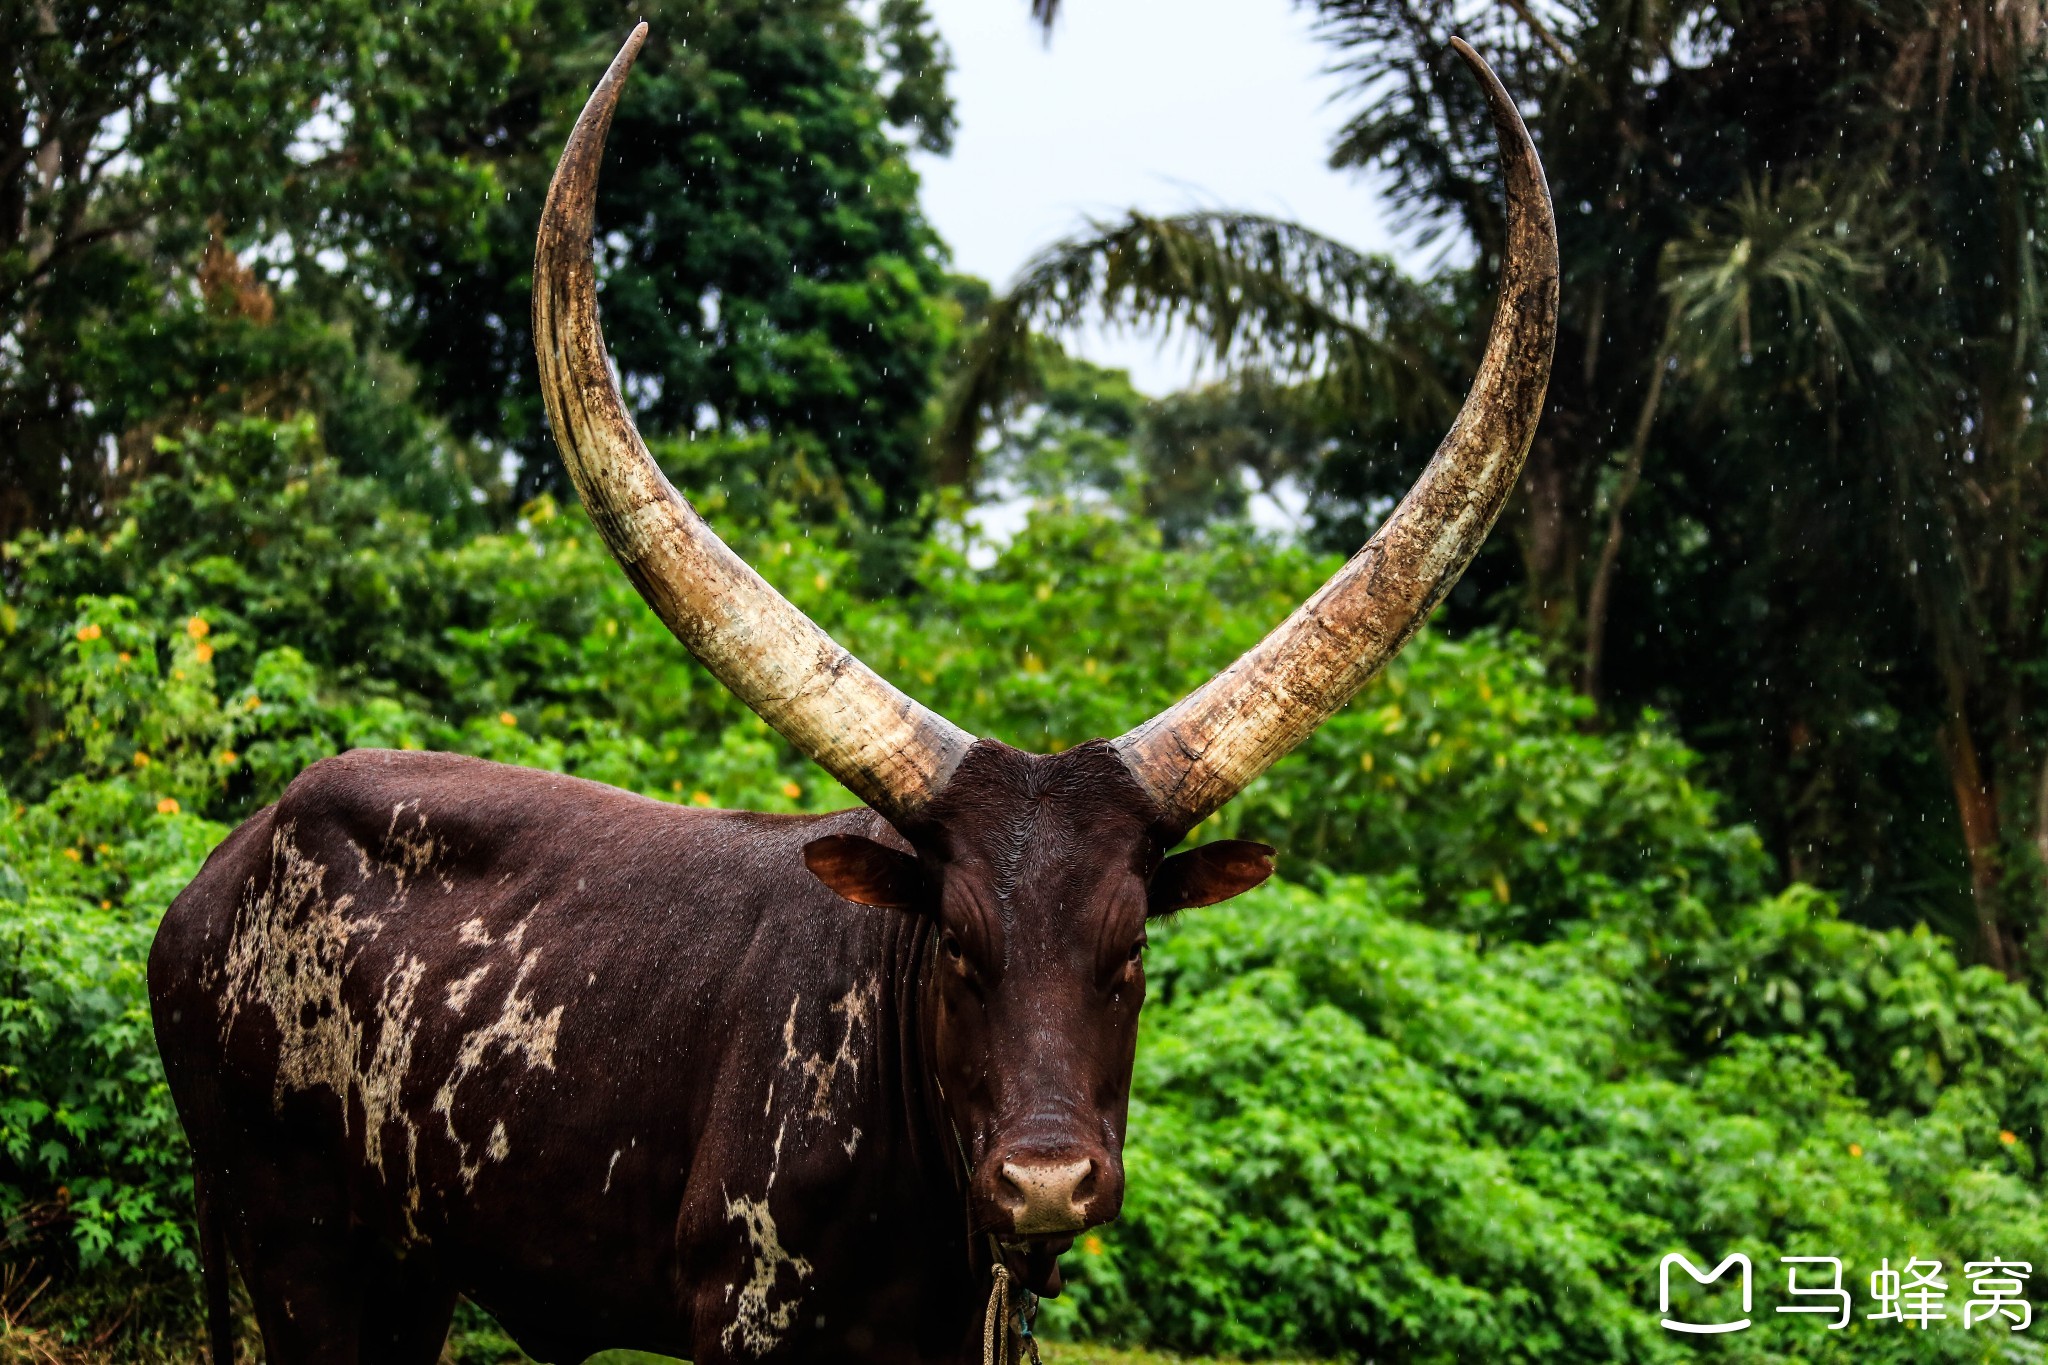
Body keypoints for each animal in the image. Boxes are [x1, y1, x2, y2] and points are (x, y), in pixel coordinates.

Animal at [148, 21, 1548, 1365]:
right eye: (959, 949)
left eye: (1132, 949)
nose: (1045, 1183)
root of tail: (221, 871)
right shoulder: (743, 1318)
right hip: (298, 1248)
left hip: (414, 1273)